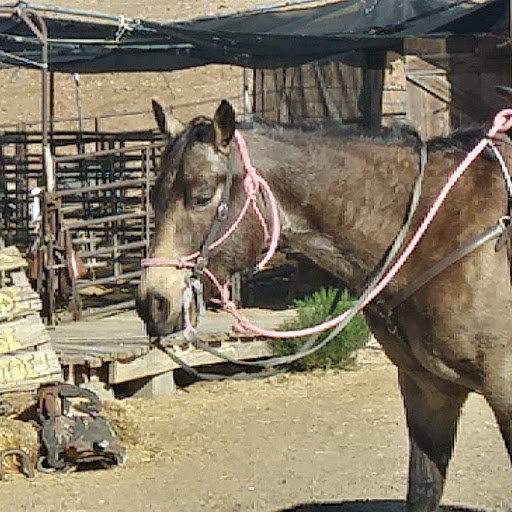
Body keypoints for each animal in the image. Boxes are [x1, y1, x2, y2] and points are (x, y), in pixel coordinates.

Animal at [136, 100, 512, 512]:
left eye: (201, 197)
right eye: (154, 197)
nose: (153, 301)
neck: (438, 229)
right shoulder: (428, 391)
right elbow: (423, 489)